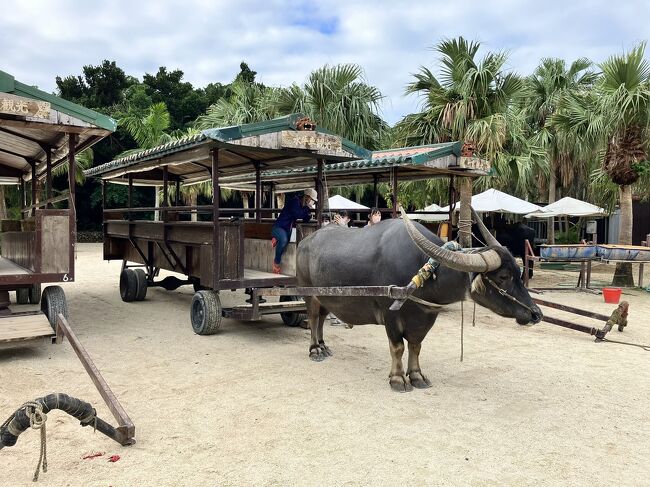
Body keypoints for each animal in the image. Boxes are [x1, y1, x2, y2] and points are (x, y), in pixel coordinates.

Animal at [296, 207, 540, 392]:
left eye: (518, 271)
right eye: (503, 276)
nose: (536, 313)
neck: (423, 270)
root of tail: (304, 242)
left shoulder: (424, 317)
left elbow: (415, 346)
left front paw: (416, 376)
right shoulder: (391, 315)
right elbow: (397, 348)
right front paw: (397, 379)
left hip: (326, 297)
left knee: (321, 318)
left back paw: (323, 346)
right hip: (309, 294)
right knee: (312, 317)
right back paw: (314, 349)